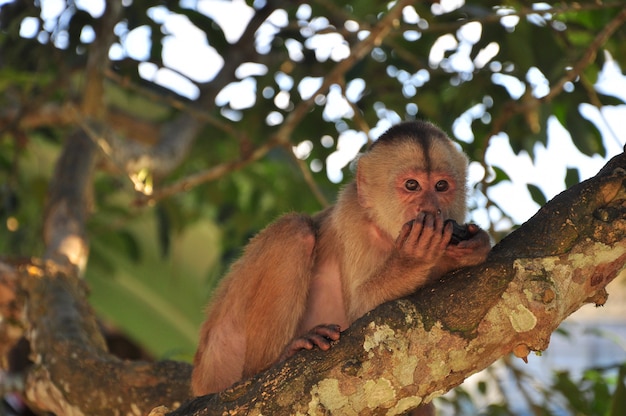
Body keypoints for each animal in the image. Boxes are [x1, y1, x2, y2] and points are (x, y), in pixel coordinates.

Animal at [190, 118, 488, 414]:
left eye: (441, 186)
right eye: (412, 185)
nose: (431, 209)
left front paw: (474, 246)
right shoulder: (352, 214)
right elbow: (365, 314)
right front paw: (414, 257)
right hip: (222, 346)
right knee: (294, 230)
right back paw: (273, 362)